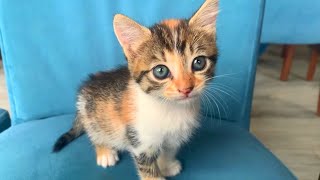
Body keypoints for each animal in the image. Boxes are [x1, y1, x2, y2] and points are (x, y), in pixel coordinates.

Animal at [53, 0, 219, 179]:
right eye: (161, 71)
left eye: (199, 62)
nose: (186, 89)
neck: (169, 107)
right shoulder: (140, 140)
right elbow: (148, 169)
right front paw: (156, 174)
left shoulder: (174, 136)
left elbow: (168, 150)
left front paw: (167, 165)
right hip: (92, 115)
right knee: (95, 133)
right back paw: (105, 151)